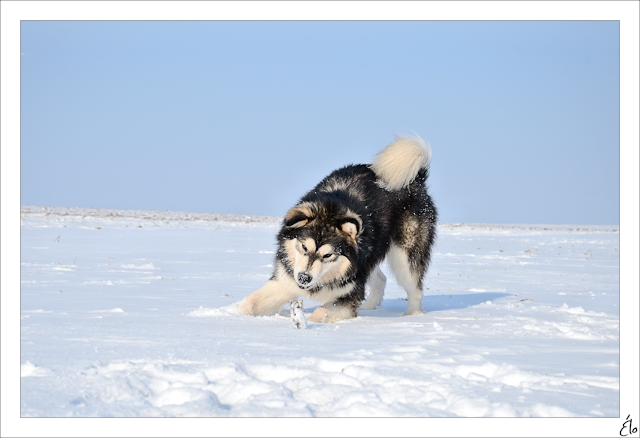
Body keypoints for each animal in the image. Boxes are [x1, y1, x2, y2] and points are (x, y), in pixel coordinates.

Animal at [238, 135, 438, 324]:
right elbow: (249, 303)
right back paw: (368, 309)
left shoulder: (350, 293)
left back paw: (412, 317)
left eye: (328, 255)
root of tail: (416, 180)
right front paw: (231, 315)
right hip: (369, 259)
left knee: (415, 289)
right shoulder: (285, 280)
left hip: (404, 257)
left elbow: (321, 312)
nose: (304, 278)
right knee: (381, 280)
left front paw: (304, 322)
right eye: (304, 247)